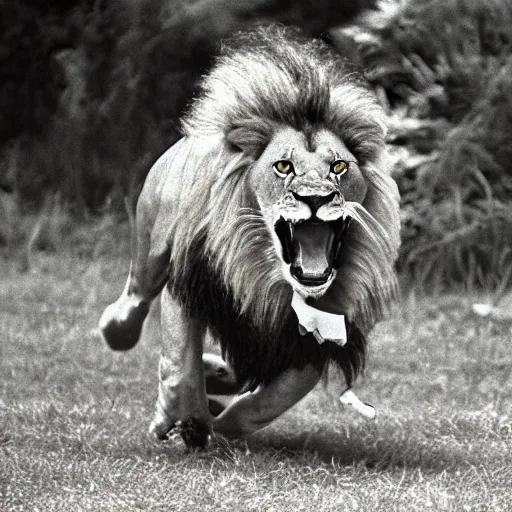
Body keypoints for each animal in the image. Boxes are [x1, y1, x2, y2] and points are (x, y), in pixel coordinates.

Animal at [97, 24, 400, 448]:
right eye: (283, 166)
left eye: (338, 167)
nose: (315, 198)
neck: (269, 280)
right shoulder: (191, 281)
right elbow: (179, 365)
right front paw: (182, 420)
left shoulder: (321, 333)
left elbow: (273, 399)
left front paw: (221, 424)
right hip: (152, 250)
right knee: (135, 299)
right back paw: (117, 330)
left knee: (239, 369)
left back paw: (217, 379)